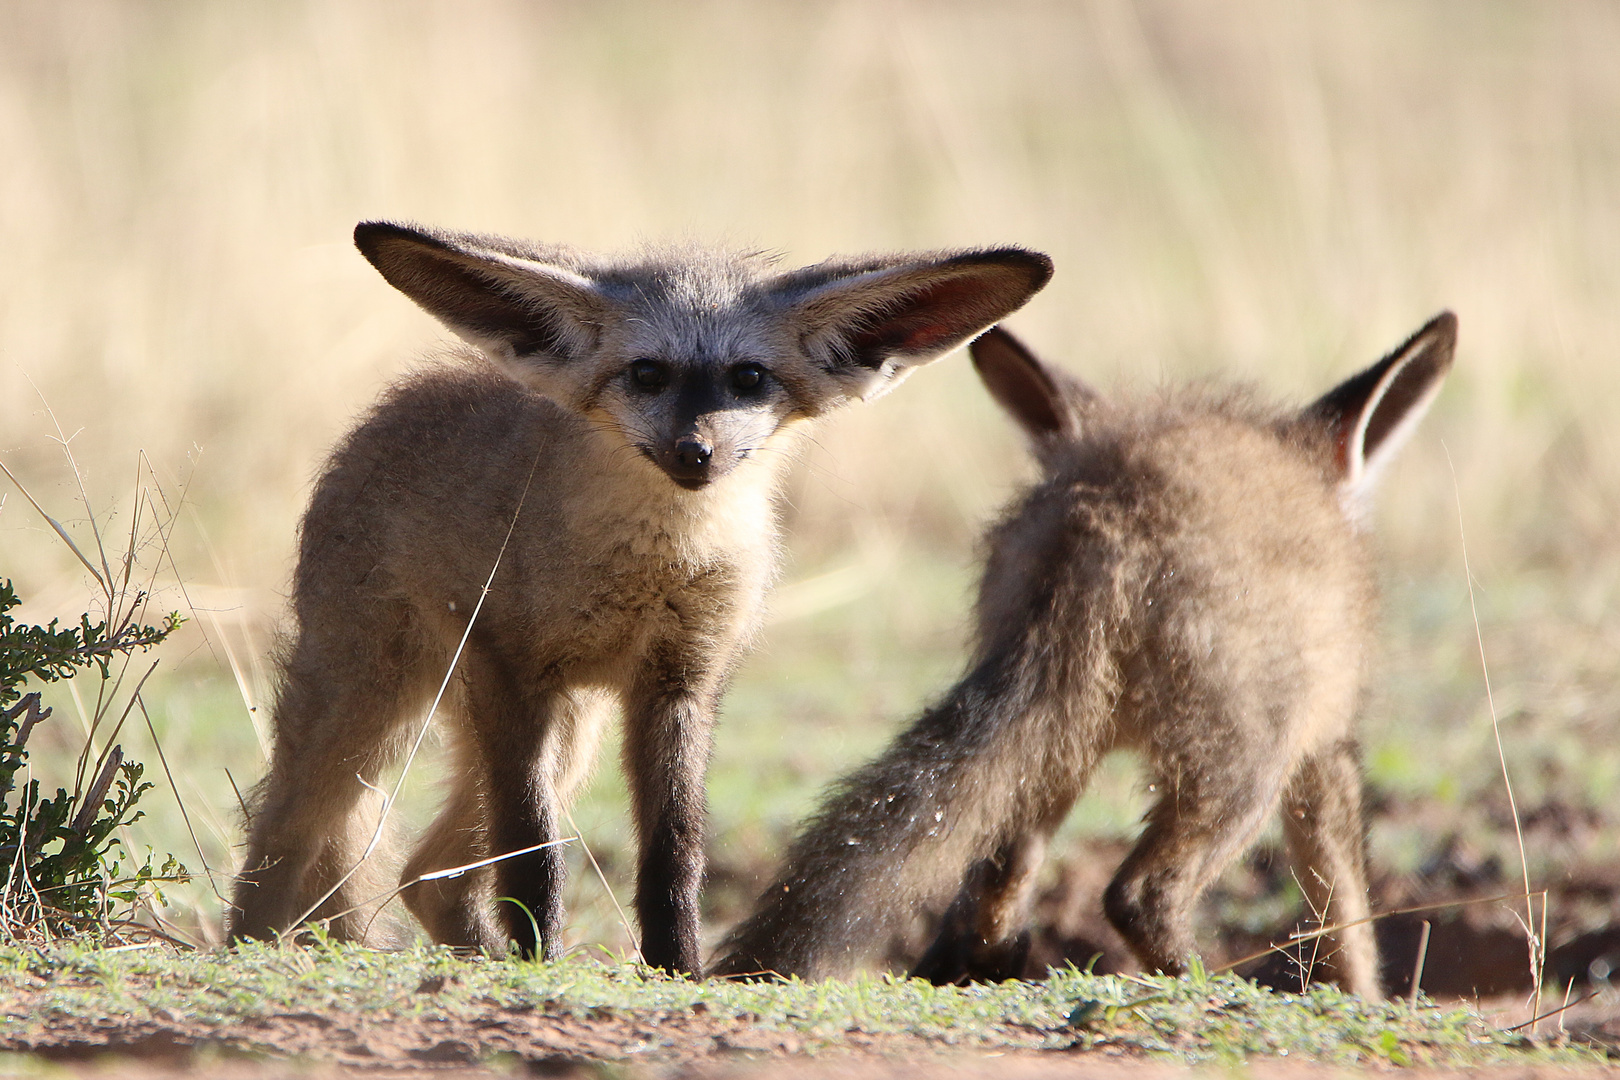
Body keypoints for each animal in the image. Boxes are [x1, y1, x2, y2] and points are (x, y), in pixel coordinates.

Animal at [234, 220, 1056, 971]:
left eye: (747, 379)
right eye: (648, 374)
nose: (695, 453)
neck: (653, 572)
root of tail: (402, 401)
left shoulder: (679, 683)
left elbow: (674, 853)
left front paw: (676, 970)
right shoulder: (513, 674)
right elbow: (532, 850)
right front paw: (546, 964)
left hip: (568, 735)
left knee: (427, 878)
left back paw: (478, 957)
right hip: (370, 708)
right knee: (285, 837)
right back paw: (249, 948)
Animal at [709, 310, 1458, 997]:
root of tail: (1105, 508)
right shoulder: (1326, 745)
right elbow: (1346, 912)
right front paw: (1363, 1002)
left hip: (1055, 739)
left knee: (994, 888)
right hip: (1245, 761)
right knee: (1138, 895)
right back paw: (1204, 986)